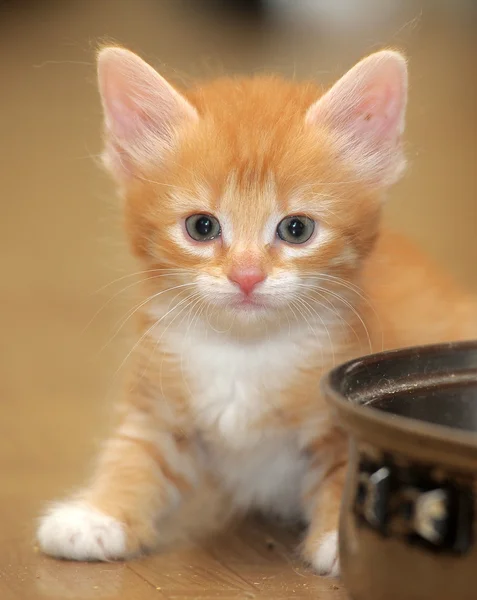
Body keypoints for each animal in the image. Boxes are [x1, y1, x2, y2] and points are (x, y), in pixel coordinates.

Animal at [37, 48, 476, 576]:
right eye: (202, 227)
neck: (243, 352)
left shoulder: (338, 416)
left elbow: (346, 472)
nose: (246, 276)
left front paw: (341, 538)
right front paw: (99, 514)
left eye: (296, 229)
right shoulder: (157, 403)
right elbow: (134, 454)